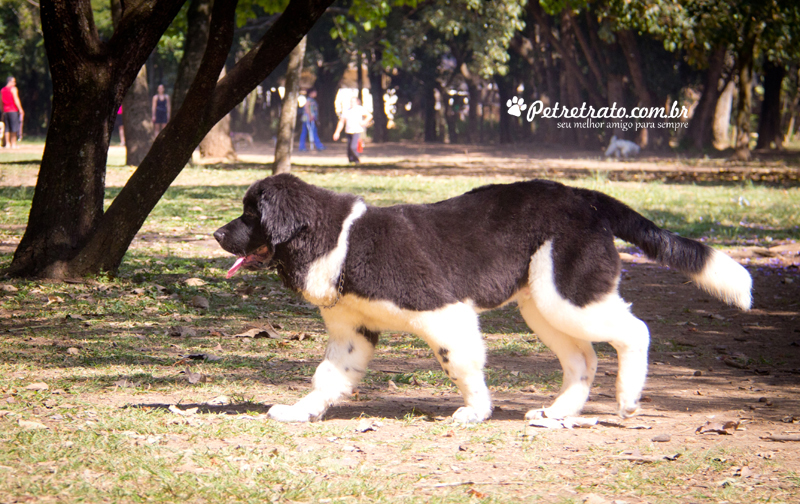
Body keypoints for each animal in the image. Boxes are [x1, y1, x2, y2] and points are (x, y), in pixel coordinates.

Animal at [214, 175, 752, 424]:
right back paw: (557, 413)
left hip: (569, 294)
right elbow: (328, 377)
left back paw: (627, 397)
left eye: (251, 214)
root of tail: (584, 197)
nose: (217, 234)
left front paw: (475, 411)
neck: (339, 239)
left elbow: (459, 362)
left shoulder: (443, 311)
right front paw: (300, 411)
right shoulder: (353, 331)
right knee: (583, 359)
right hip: (542, 304)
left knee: (634, 331)